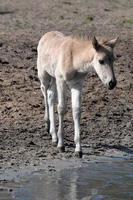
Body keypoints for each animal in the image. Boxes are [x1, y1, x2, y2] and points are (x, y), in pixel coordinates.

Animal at [37, 30, 118, 158]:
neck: (73, 59)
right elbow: (61, 108)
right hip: (44, 75)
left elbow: (76, 111)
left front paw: (78, 150)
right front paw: (61, 145)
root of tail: (46, 34)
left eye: (114, 60)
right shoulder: (61, 81)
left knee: (50, 97)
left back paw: (53, 135)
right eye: (101, 61)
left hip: (53, 78)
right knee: (44, 92)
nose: (112, 83)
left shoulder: (77, 85)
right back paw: (48, 125)